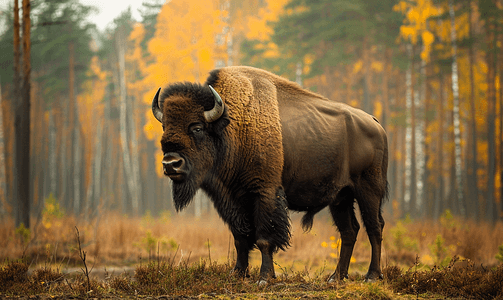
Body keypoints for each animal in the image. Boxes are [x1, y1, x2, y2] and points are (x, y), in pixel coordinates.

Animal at [152, 66, 388, 284]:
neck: (233, 126)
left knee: (374, 227)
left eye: (197, 128)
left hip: (369, 190)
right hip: (341, 197)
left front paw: (264, 277)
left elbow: (264, 238)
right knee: (349, 231)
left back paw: (371, 276)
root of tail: (375, 123)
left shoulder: (264, 192)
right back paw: (336, 277)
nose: (171, 164)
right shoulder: (232, 200)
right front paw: (238, 273)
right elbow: (240, 238)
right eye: (165, 127)